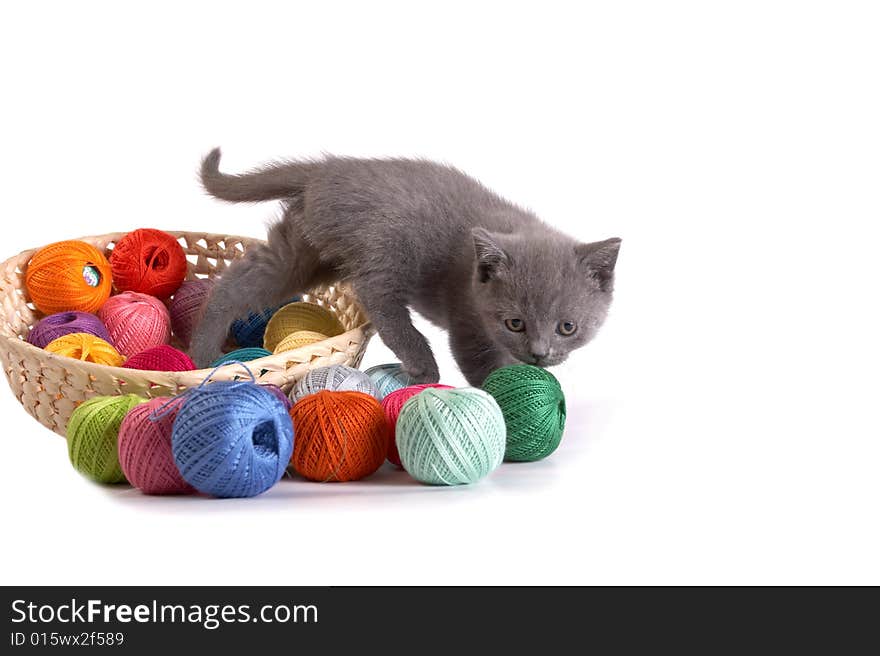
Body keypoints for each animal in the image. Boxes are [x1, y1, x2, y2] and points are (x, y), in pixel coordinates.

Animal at [192, 149, 624, 384]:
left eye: (568, 327)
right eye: (514, 322)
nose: (539, 352)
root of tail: (328, 170)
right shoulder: (467, 321)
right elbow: (481, 363)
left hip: (304, 251)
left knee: (241, 282)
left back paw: (203, 354)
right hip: (388, 243)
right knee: (379, 299)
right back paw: (421, 365)